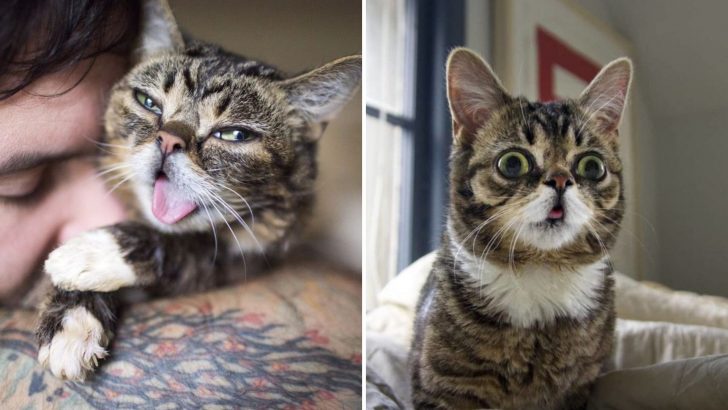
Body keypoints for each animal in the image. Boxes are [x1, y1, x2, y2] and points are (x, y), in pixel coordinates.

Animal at [37, 0, 362, 382]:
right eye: (148, 102)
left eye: (235, 134)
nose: (168, 141)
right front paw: (72, 318)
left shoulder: (250, 257)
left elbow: (188, 246)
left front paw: (89, 252)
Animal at [410, 48, 632, 410]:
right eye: (513, 163)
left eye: (592, 166)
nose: (560, 180)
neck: (539, 270)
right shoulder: (444, 385)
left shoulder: (580, 385)